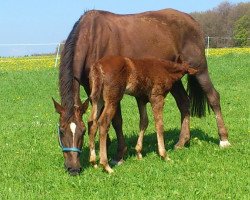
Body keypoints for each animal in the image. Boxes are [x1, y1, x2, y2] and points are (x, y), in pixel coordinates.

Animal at [52, 9, 230, 175]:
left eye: (81, 132)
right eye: (61, 131)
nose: (73, 168)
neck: (93, 36)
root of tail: (192, 20)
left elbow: (116, 121)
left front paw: (118, 156)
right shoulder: (92, 89)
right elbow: (96, 120)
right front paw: (104, 149)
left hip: (199, 69)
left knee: (213, 97)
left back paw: (223, 139)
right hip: (175, 77)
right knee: (184, 102)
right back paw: (181, 142)